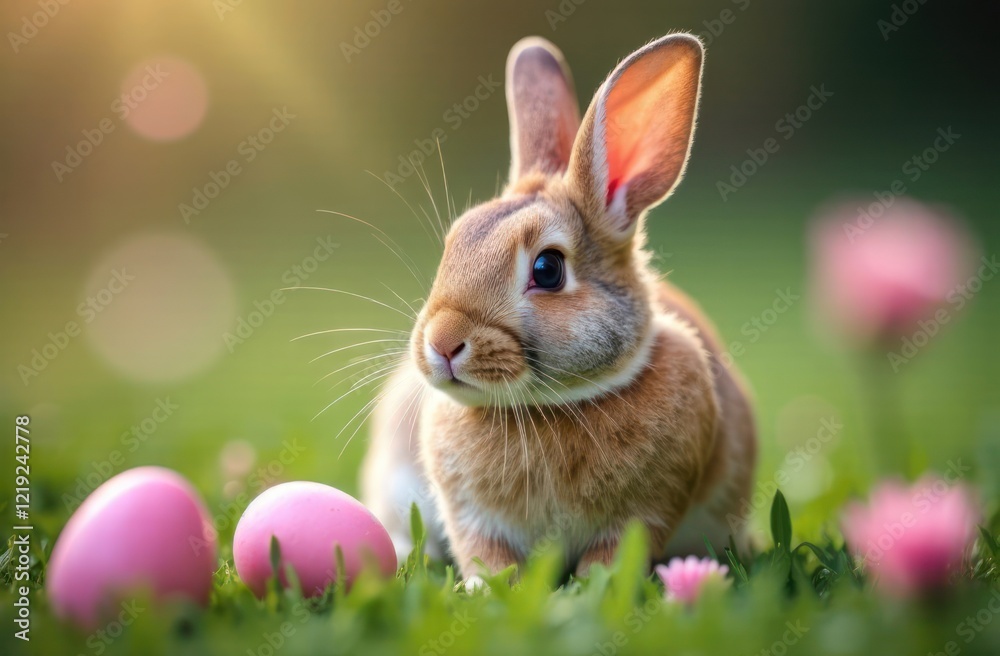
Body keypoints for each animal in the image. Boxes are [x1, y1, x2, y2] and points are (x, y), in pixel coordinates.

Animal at [361, 33, 757, 581]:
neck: (549, 407)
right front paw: (485, 588)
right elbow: (484, 554)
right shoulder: (470, 516)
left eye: (547, 269)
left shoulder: (646, 513)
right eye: (455, 241)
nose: (442, 343)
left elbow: (612, 557)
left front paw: (594, 585)